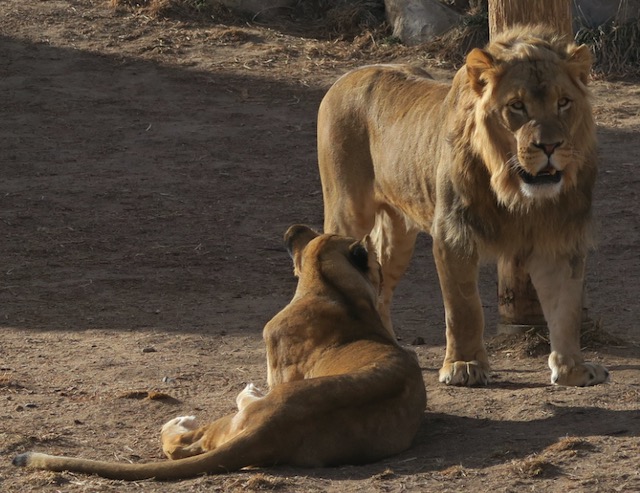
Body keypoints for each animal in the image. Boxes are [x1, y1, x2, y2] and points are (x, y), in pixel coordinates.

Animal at [11, 226, 424, 480]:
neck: (330, 286)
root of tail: (272, 425)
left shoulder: (278, 366)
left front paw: (248, 389)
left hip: (230, 421)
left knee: (179, 445)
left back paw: (184, 421)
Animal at [320, 26, 608, 388]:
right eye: (517, 106)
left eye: (564, 102)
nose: (550, 146)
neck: (517, 193)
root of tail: (349, 75)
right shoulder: (454, 234)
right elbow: (463, 308)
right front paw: (465, 366)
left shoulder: (560, 239)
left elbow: (565, 308)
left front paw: (572, 369)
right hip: (347, 213)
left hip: (399, 235)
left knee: (380, 287)